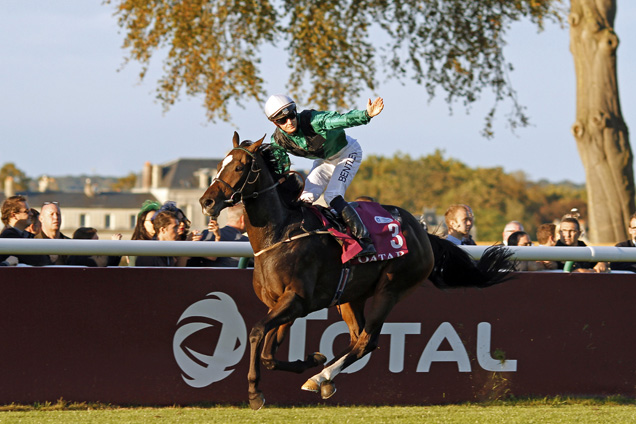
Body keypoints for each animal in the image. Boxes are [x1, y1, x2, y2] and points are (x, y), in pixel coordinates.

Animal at [201, 131, 516, 410]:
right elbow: (268, 353)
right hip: (350, 297)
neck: (280, 234)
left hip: (391, 289)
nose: (206, 201)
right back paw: (323, 378)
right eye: (218, 166)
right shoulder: (282, 305)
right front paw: (311, 360)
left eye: (240, 166)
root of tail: (423, 234)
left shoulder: (296, 301)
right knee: (356, 338)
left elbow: (256, 333)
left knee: (367, 341)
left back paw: (321, 377)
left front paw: (256, 393)